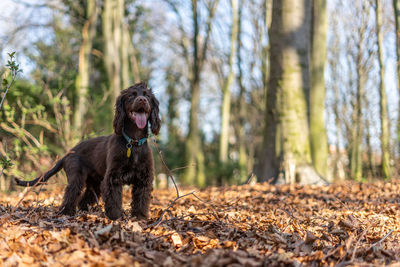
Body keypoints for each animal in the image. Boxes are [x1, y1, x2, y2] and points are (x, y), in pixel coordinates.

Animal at [16, 82, 159, 221]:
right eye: (131, 96)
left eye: (147, 96)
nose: (142, 100)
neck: (133, 142)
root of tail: (69, 152)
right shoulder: (112, 179)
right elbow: (114, 200)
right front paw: (115, 218)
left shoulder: (143, 179)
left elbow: (141, 199)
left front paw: (139, 217)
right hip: (76, 178)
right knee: (70, 196)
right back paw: (66, 213)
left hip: (94, 182)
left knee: (83, 199)